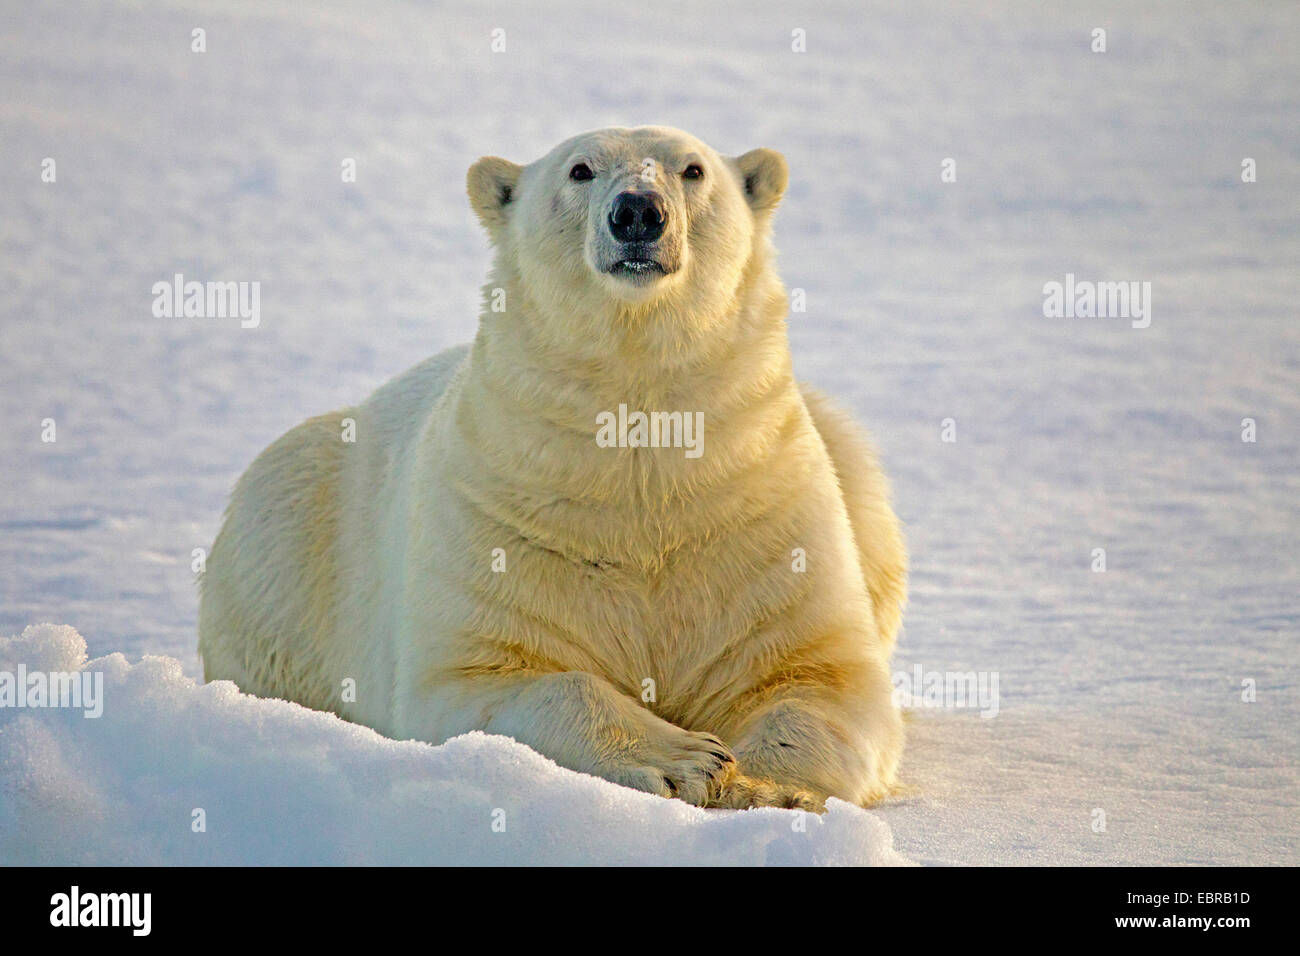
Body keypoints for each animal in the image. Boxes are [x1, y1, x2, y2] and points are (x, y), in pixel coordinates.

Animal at [200, 127, 904, 811]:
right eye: (580, 169)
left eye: (693, 169)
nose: (638, 213)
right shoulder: (494, 526)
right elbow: (493, 678)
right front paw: (685, 758)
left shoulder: (764, 523)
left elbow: (820, 678)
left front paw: (766, 785)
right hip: (293, 516)